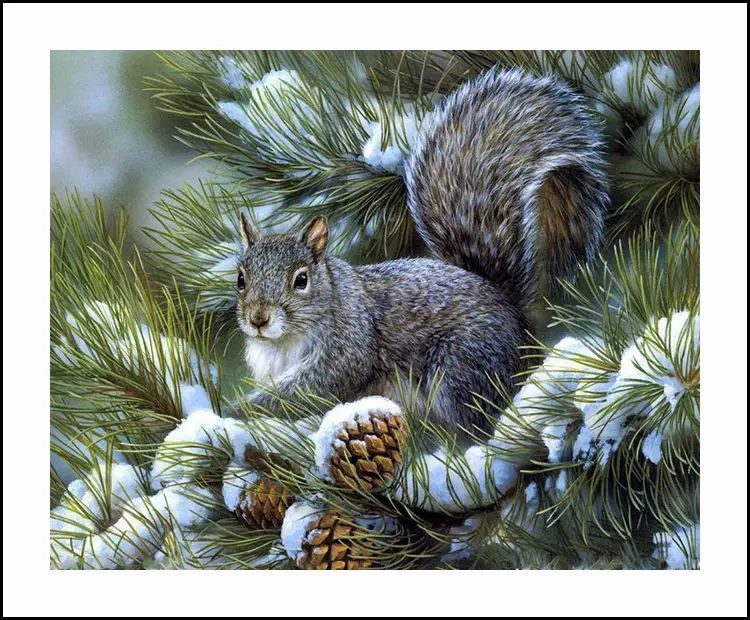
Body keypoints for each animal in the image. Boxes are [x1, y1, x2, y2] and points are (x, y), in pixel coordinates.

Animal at [235, 67, 609, 433]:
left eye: (301, 280)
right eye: (240, 279)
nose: (258, 319)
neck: (283, 341)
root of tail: (515, 316)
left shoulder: (348, 345)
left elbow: (313, 387)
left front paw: (244, 409)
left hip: (462, 366)